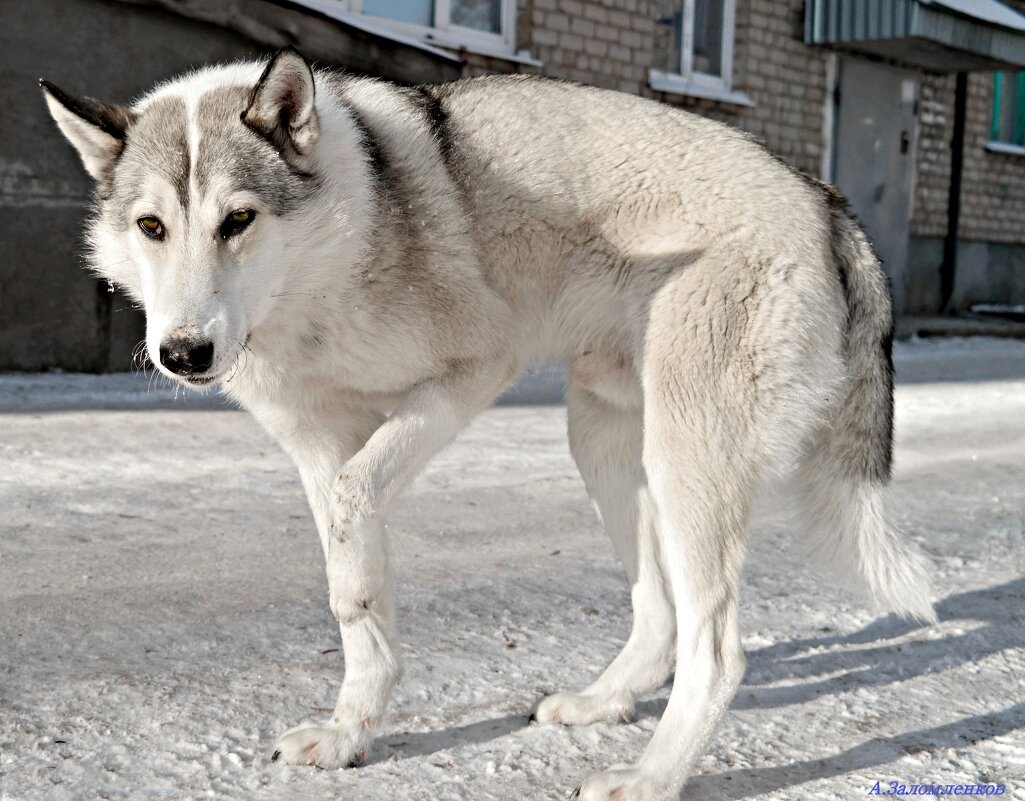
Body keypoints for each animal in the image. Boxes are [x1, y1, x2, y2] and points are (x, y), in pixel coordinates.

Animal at [42, 46, 938, 795]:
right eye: (151, 227)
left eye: (237, 220)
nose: (183, 353)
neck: (329, 266)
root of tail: (822, 200)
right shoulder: (318, 442)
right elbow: (355, 590)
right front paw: (350, 732)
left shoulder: (470, 375)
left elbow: (354, 519)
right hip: (604, 443)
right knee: (659, 617)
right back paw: (602, 703)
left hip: (685, 460)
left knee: (714, 651)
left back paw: (650, 777)